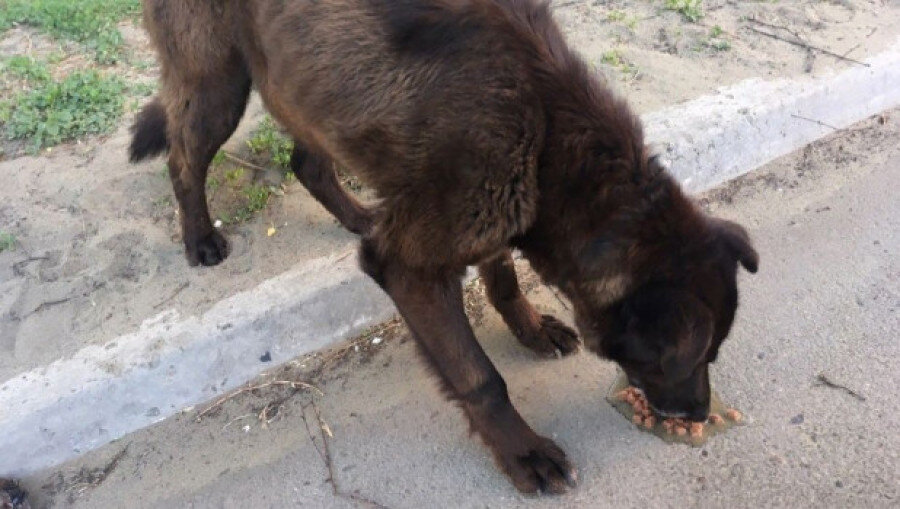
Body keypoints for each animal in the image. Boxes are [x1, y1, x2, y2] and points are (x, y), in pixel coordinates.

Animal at [130, 0, 756, 492]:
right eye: (692, 357)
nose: (701, 413)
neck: (550, 140)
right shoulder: (408, 265)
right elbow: (481, 379)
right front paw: (522, 451)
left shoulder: (496, 206)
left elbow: (503, 278)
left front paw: (531, 328)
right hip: (217, 82)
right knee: (184, 158)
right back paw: (199, 237)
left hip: (303, 85)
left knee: (306, 161)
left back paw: (358, 215)